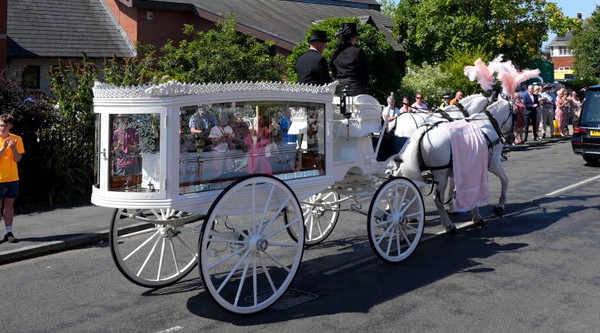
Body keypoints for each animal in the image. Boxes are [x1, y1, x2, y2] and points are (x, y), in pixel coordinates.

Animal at [394, 99, 516, 231]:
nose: (511, 138)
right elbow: (505, 180)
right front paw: (499, 206)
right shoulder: (493, 163)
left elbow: (462, 188)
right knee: (437, 199)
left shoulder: (463, 168)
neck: (488, 122)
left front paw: (472, 213)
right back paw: (448, 225)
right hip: (441, 175)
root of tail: (423, 132)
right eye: (515, 114)